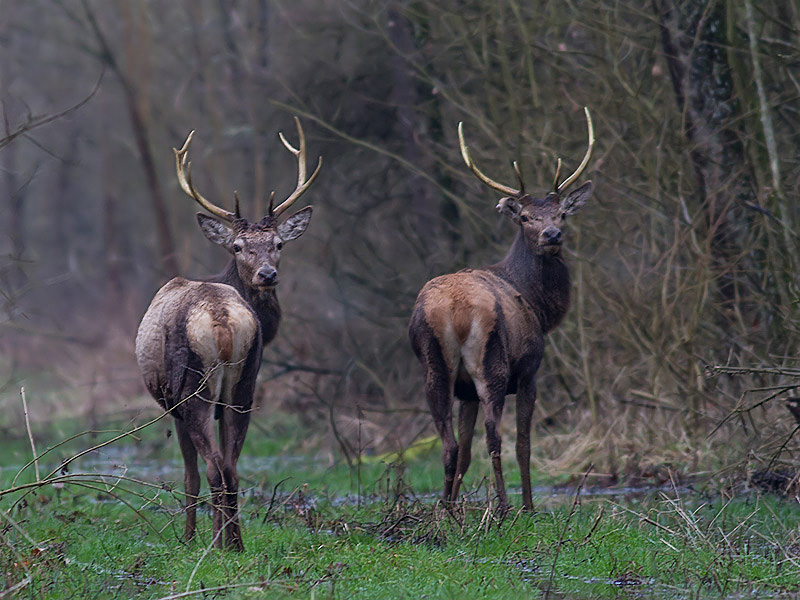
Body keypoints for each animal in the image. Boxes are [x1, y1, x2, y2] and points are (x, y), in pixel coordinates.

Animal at [135, 117, 322, 548]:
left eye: (278, 243)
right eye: (238, 246)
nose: (267, 274)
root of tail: (221, 322)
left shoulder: (173, 404)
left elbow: (189, 475)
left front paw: (189, 538)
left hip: (192, 387)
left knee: (214, 468)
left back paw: (215, 543)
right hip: (244, 384)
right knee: (232, 467)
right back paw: (234, 543)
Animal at [410, 108, 592, 510]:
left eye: (562, 214)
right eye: (525, 217)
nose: (551, 235)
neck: (538, 305)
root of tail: (454, 312)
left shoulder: (464, 392)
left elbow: (464, 452)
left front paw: (453, 503)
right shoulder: (529, 371)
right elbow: (524, 445)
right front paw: (529, 505)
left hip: (435, 367)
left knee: (449, 444)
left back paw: (443, 509)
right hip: (491, 359)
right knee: (495, 435)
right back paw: (506, 506)